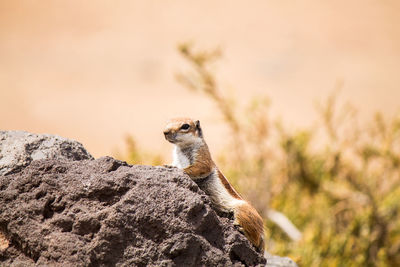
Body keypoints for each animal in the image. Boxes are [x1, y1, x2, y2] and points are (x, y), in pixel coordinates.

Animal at [164, 118, 264, 253]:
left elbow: (198, 167)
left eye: (185, 126)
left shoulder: (202, 156)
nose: (165, 132)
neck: (181, 148)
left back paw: (243, 231)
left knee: (255, 239)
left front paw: (172, 167)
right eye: (167, 122)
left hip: (243, 211)